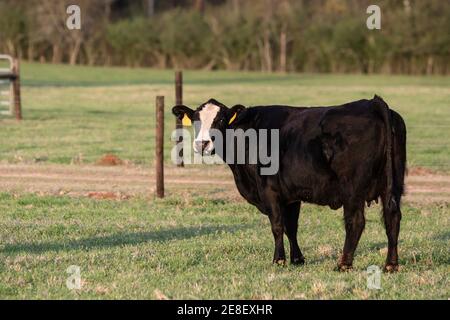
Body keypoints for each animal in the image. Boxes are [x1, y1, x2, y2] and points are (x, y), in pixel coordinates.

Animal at [173, 95, 408, 272]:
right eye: (196, 120)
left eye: (220, 120)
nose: (202, 144)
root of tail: (372, 103)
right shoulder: (292, 194)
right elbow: (291, 227)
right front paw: (297, 259)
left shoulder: (269, 190)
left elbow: (277, 225)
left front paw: (279, 260)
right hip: (393, 184)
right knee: (392, 217)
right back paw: (391, 265)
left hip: (352, 189)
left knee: (356, 222)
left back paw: (344, 264)